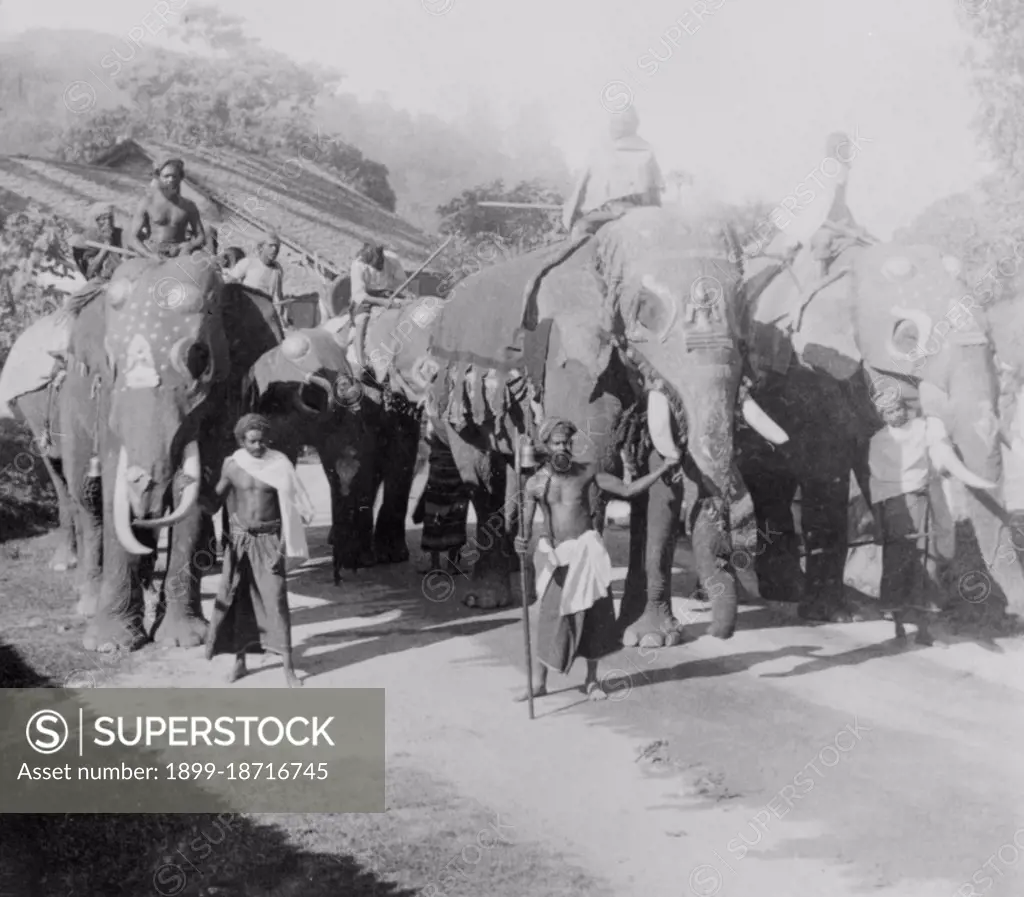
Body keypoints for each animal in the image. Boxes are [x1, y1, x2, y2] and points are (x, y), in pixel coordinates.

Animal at [58, 255, 284, 647]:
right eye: (111, 362)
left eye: (200, 358)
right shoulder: (110, 406)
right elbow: (115, 489)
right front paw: (109, 644)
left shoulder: (223, 401)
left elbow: (195, 491)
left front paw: (183, 640)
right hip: (71, 413)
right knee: (88, 498)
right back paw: (89, 604)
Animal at [419, 207, 786, 647]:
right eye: (644, 311)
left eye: (744, 308)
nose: (718, 632)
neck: (601, 251)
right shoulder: (572, 355)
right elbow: (589, 470)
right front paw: (593, 635)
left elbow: (658, 493)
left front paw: (651, 639)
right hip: (453, 401)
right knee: (482, 473)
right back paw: (487, 599)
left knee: (512, 476)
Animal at [737, 234, 1024, 618]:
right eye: (908, 337)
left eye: (991, 335)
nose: (1013, 611)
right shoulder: (812, 369)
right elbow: (827, 466)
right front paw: (834, 614)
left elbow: (879, 470)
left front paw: (909, 606)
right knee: (766, 477)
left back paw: (787, 589)